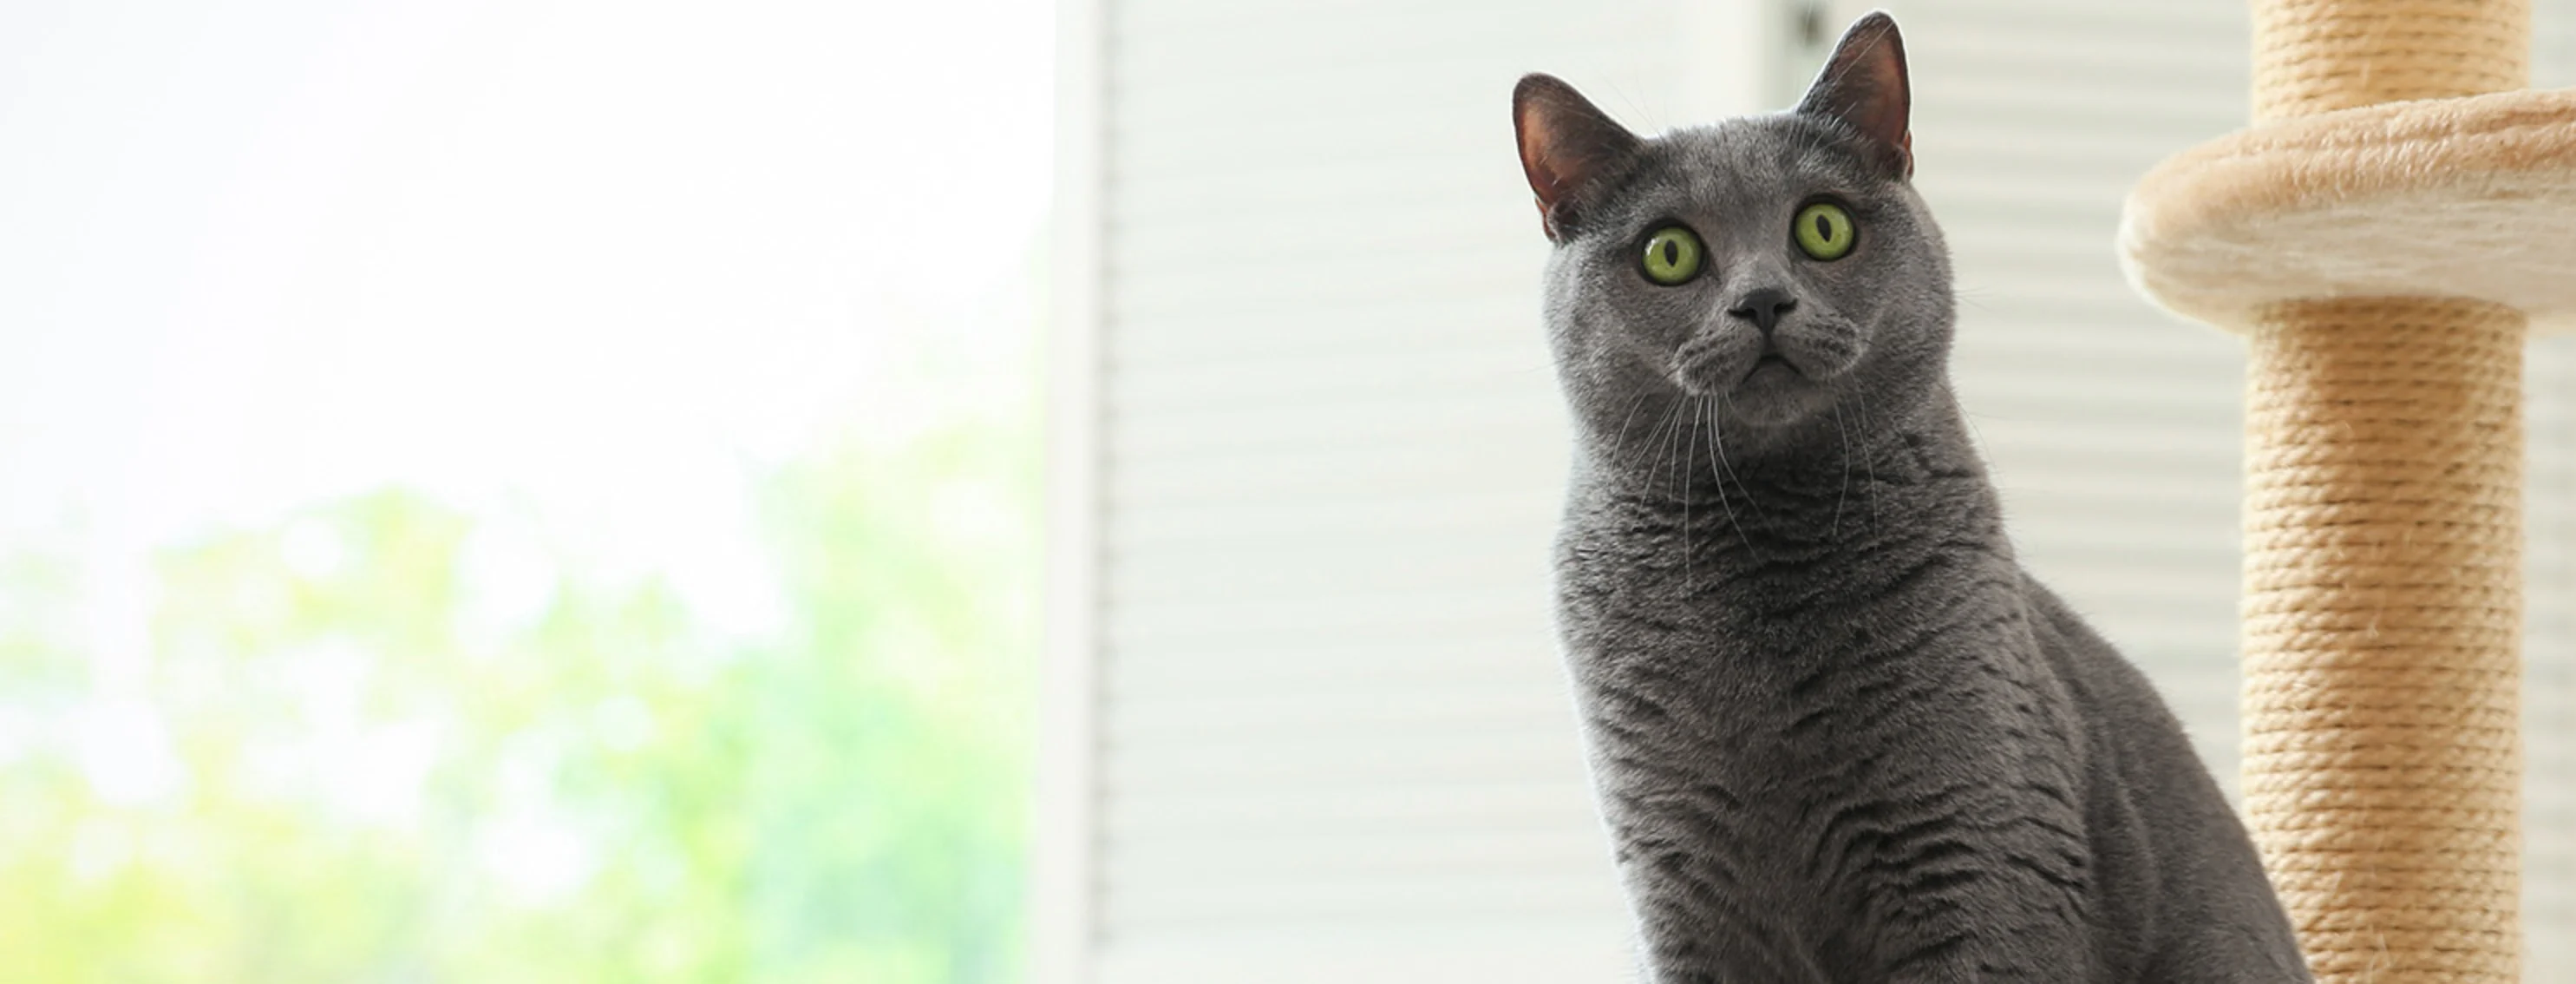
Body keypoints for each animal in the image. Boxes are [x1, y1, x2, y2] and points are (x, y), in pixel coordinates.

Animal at [1504, 10, 2318, 984]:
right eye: (1670, 252)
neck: (1763, 557)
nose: (1764, 300)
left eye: (1823, 228)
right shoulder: (1686, 892)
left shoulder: (1983, 861)